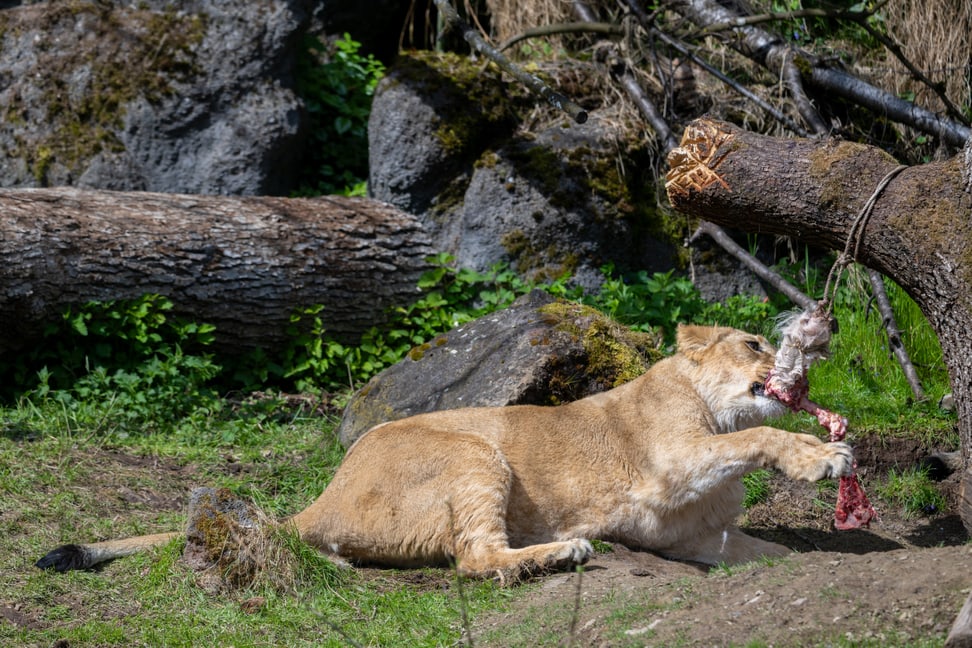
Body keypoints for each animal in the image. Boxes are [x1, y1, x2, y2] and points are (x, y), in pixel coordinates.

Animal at [36, 324, 854, 578]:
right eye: (754, 344)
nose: (809, 366)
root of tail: (322, 496)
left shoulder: (688, 534)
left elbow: (764, 552)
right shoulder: (665, 465)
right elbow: (756, 434)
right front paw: (822, 457)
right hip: (472, 452)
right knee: (474, 559)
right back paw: (558, 553)